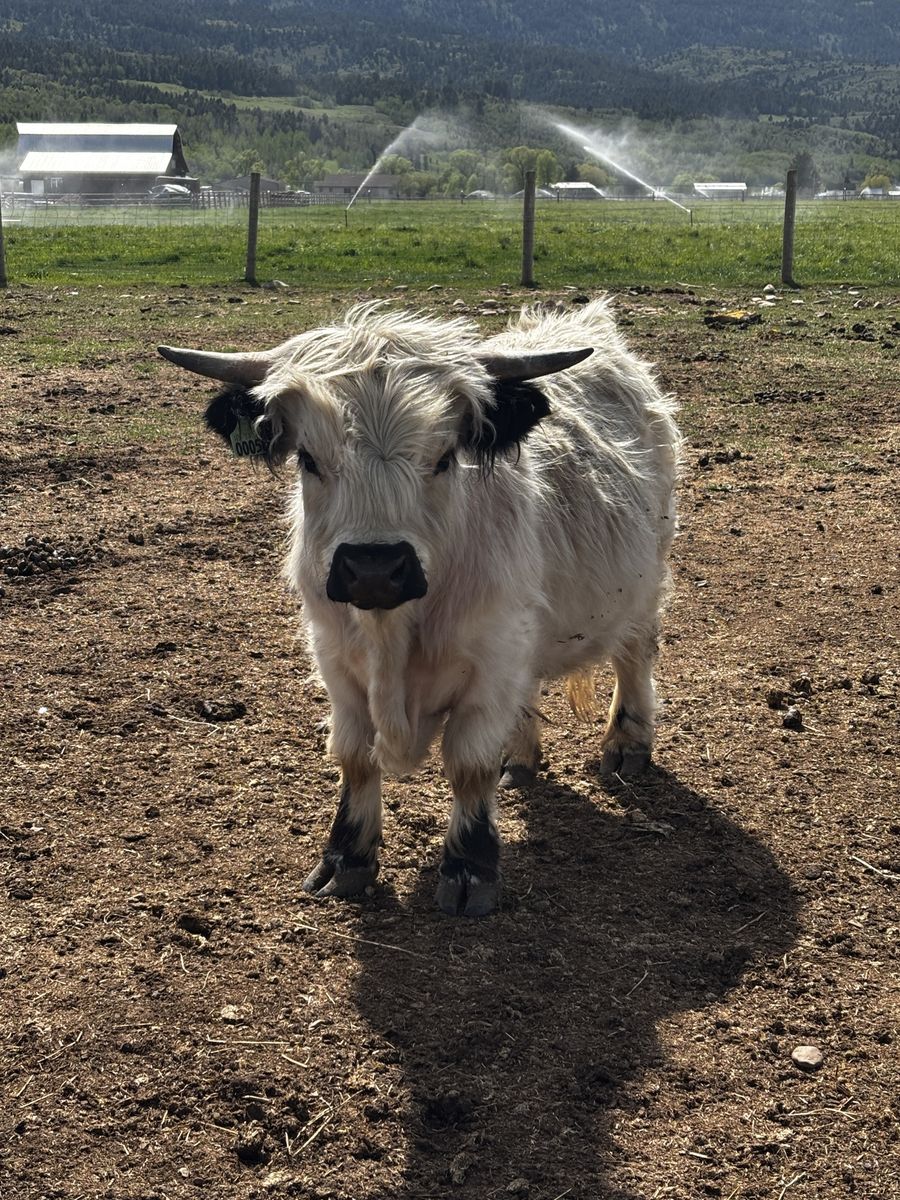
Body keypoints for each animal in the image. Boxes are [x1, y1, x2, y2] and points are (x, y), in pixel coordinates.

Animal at [159, 298, 680, 916]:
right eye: (308, 458)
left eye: (446, 457)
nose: (375, 567)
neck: (393, 635)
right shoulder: (337, 662)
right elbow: (355, 756)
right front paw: (346, 858)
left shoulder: (489, 664)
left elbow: (469, 764)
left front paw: (470, 869)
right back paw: (519, 756)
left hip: (645, 583)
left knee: (635, 655)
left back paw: (626, 744)